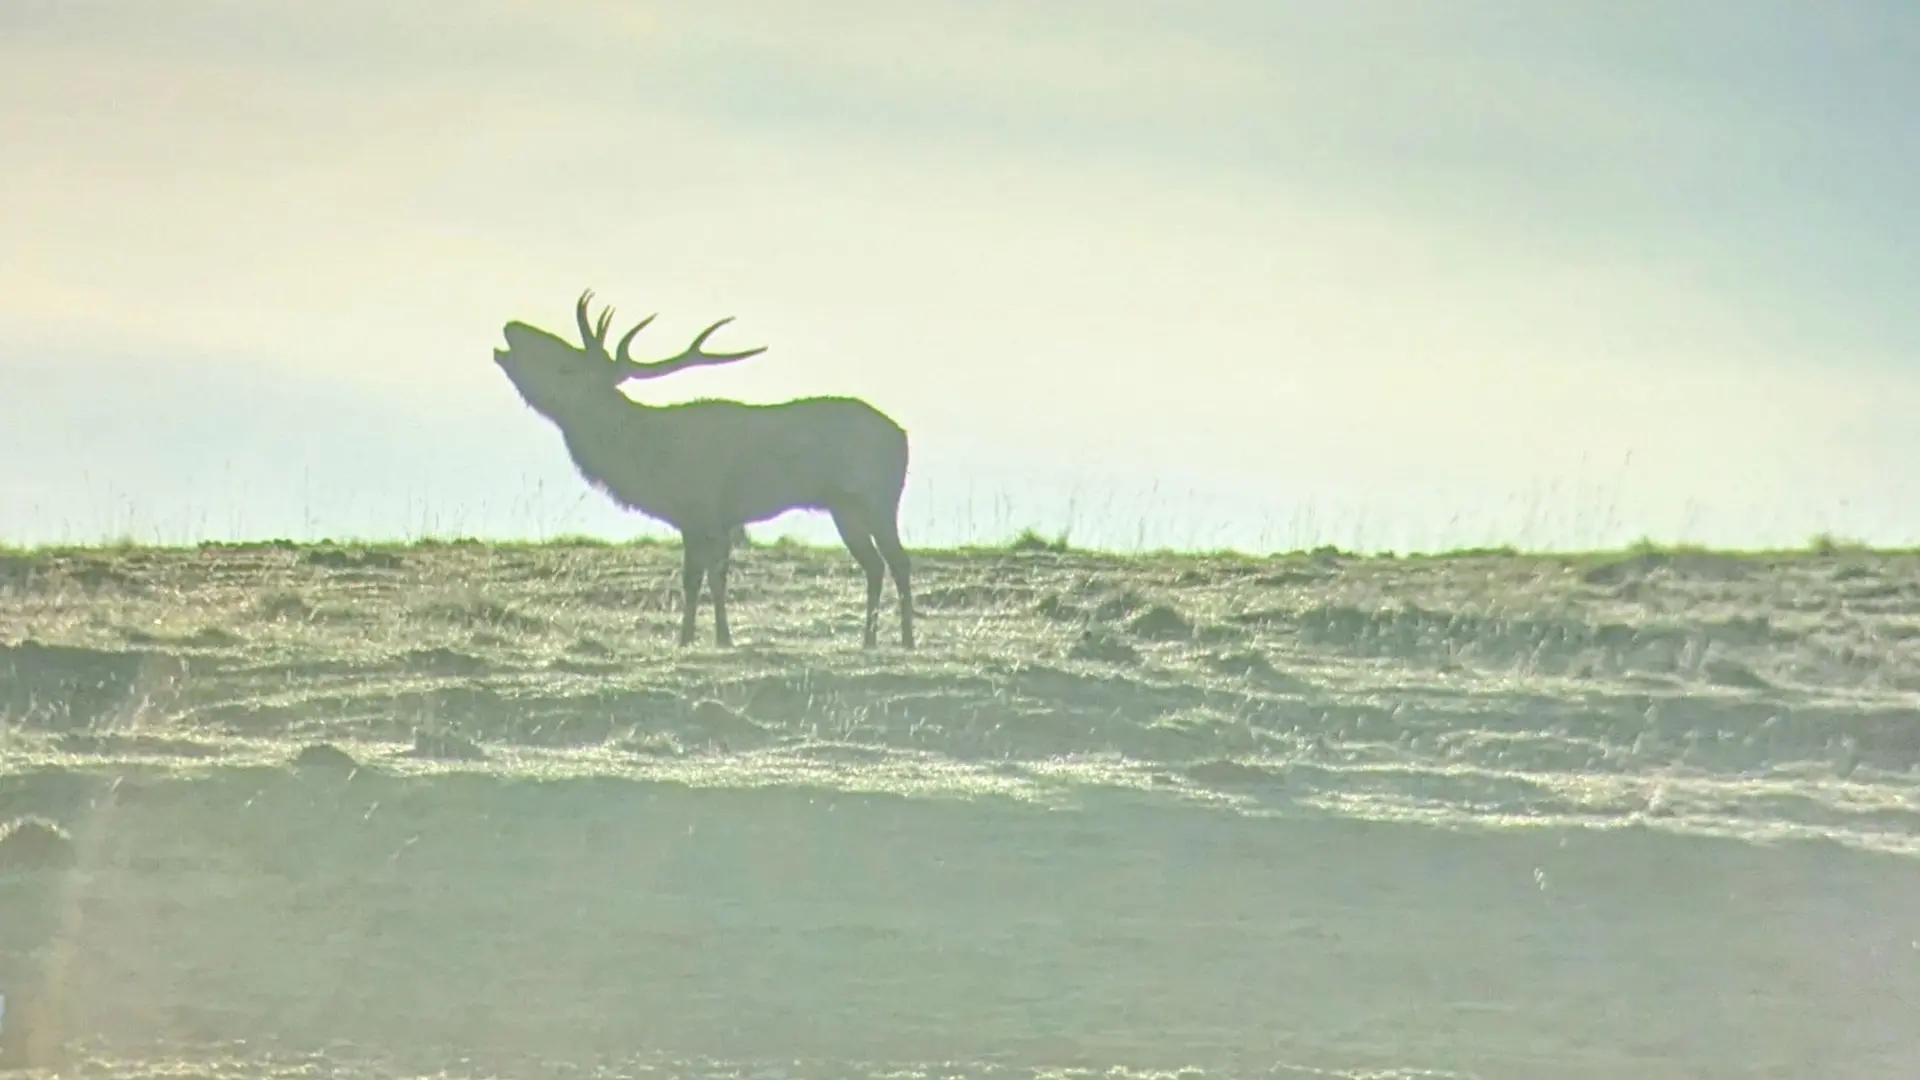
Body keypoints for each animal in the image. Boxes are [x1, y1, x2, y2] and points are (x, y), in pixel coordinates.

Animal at [491, 290, 915, 649]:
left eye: (566, 365)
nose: (510, 327)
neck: (646, 457)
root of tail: (903, 437)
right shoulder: (700, 519)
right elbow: (701, 579)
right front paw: (700, 637)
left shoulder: (704, 509)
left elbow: (704, 577)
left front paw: (709, 638)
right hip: (845, 508)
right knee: (875, 564)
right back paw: (869, 639)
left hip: (878, 497)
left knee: (898, 560)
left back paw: (906, 639)